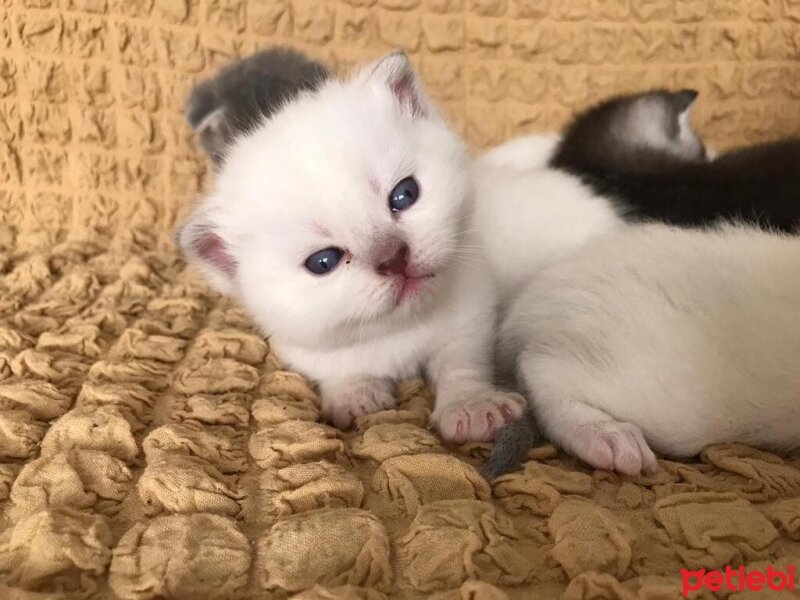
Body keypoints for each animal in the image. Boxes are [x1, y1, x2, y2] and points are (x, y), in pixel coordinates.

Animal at [177, 52, 524, 440]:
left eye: (404, 195)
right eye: (323, 261)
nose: (394, 258)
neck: (399, 329)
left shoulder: (471, 311)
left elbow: (463, 360)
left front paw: (471, 404)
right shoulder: (303, 347)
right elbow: (335, 369)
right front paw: (353, 393)